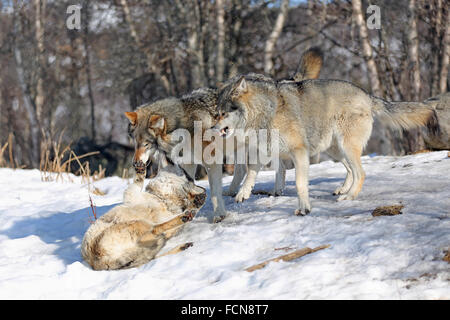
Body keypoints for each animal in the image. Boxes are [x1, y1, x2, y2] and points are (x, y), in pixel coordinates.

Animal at [82, 132, 206, 270]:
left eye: (183, 171)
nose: (163, 149)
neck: (163, 199)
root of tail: (97, 263)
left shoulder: (132, 193)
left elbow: (139, 182)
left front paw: (196, 200)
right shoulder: (133, 195)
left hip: (139, 226)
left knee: (156, 231)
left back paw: (183, 223)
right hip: (144, 240)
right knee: (155, 244)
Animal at [124, 48, 324, 222]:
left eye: (147, 144)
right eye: (135, 143)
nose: (135, 163)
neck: (184, 126)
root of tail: (273, 80)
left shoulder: (211, 162)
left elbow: (214, 192)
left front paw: (219, 215)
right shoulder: (189, 164)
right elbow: (187, 185)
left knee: (271, 166)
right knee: (253, 168)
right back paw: (250, 191)